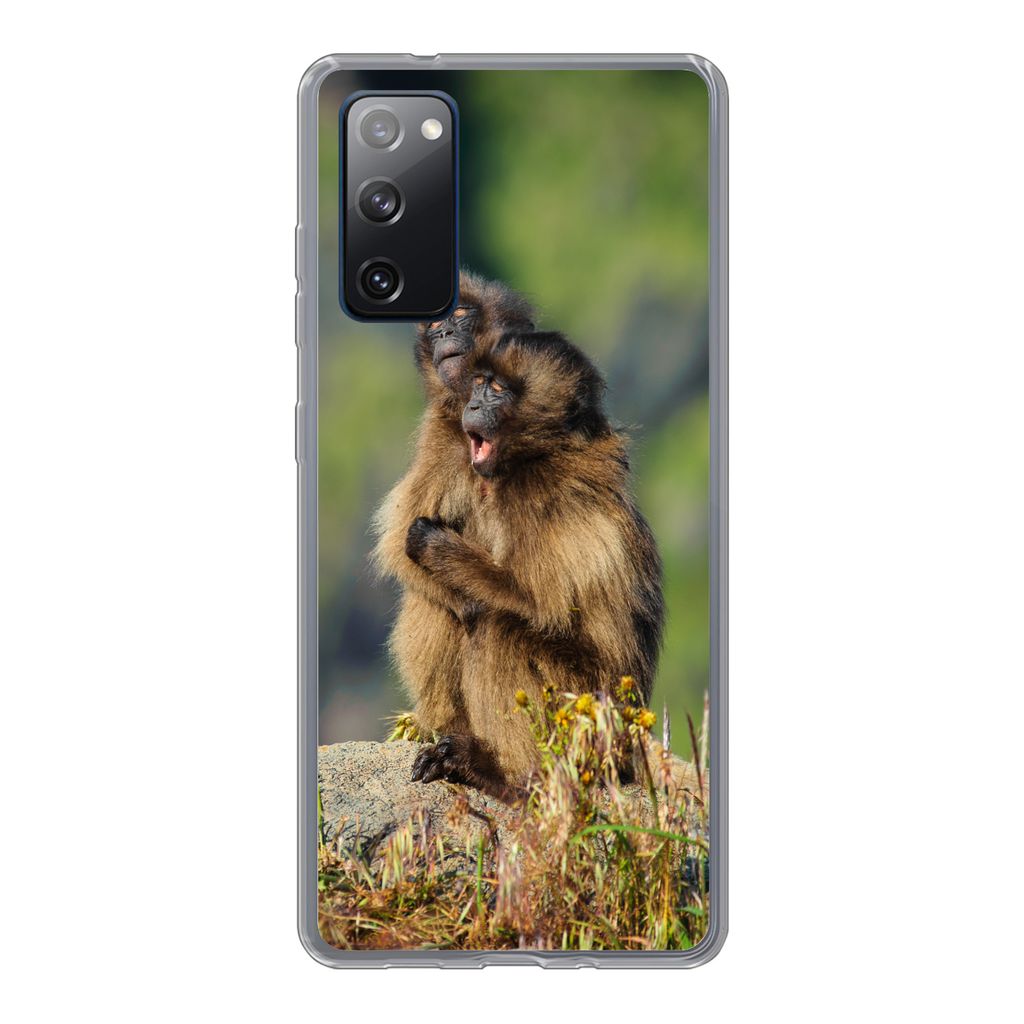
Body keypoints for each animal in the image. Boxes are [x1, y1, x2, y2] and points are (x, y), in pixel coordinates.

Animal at [370, 271, 537, 772]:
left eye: (461, 313)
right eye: (433, 323)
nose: (443, 330)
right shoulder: (439, 434)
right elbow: (399, 544)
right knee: (434, 597)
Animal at [404, 328, 665, 799]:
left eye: (497, 390)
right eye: (479, 383)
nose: (471, 406)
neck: (540, 453)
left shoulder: (543, 499)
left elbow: (540, 605)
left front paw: (433, 544)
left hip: (586, 709)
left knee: (497, 626)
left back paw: (506, 775)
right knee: (444, 601)